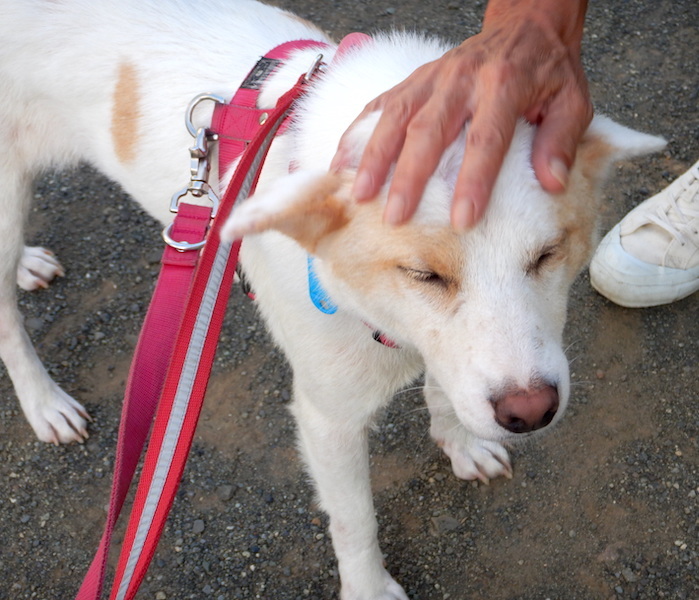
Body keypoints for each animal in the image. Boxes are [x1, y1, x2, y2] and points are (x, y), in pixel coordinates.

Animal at [1, 0, 665, 598]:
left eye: (549, 254)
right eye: (424, 274)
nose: (530, 412)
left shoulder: (446, 353)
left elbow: (446, 389)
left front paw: (461, 443)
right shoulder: (329, 419)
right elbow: (355, 521)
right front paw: (369, 588)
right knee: (6, 320)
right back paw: (44, 402)